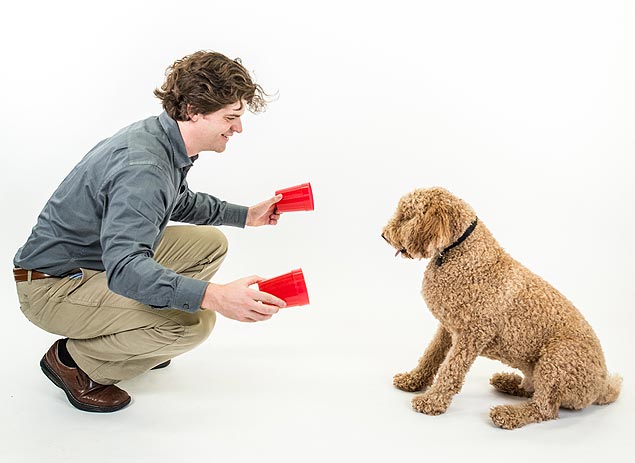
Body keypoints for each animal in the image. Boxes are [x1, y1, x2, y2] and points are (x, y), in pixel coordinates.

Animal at [382, 187, 620, 430]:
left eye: (406, 216)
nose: (383, 235)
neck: (461, 251)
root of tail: (603, 385)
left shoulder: (472, 334)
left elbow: (451, 369)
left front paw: (432, 401)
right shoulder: (447, 328)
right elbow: (431, 355)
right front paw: (413, 380)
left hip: (558, 357)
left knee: (544, 409)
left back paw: (508, 413)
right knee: (535, 392)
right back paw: (508, 382)